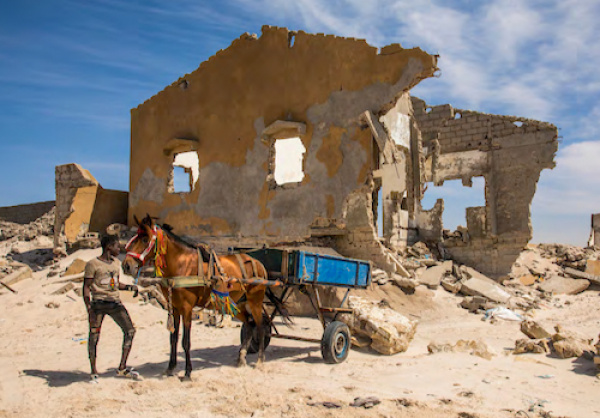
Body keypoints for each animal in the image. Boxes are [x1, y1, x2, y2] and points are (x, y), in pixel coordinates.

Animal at [121, 214, 270, 380]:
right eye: (135, 238)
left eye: (145, 239)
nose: (126, 266)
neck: (181, 265)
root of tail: (258, 263)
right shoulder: (174, 307)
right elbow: (173, 339)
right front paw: (170, 368)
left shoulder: (187, 308)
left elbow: (186, 342)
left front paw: (187, 372)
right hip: (236, 304)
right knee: (249, 325)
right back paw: (242, 358)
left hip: (255, 301)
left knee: (260, 327)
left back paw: (260, 360)